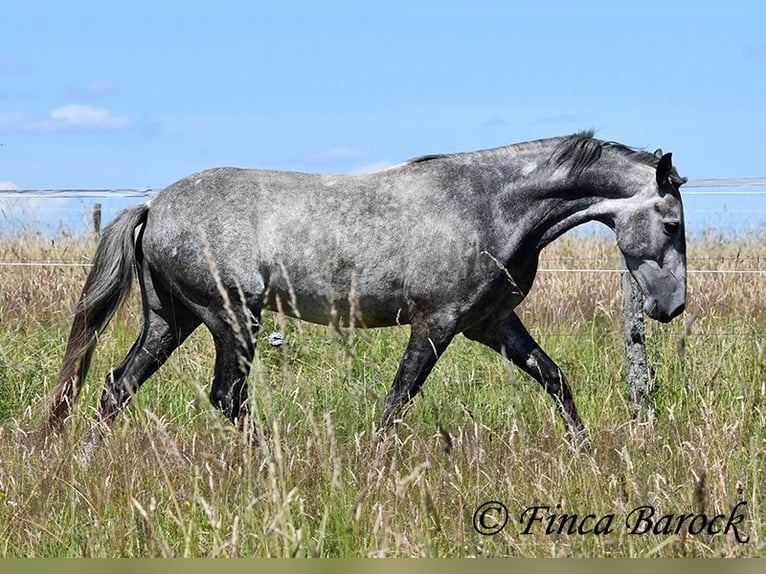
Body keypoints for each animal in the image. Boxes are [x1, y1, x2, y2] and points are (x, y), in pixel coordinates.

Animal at [44, 131, 687, 440]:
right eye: (672, 224)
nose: (672, 307)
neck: (490, 205)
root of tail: (153, 205)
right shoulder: (438, 321)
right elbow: (399, 398)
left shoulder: (490, 323)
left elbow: (553, 377)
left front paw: (585, 452)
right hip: (232, 318)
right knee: (227, 396)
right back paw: (271, 460)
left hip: (170, 320)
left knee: (115, 387)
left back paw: (84, 458)